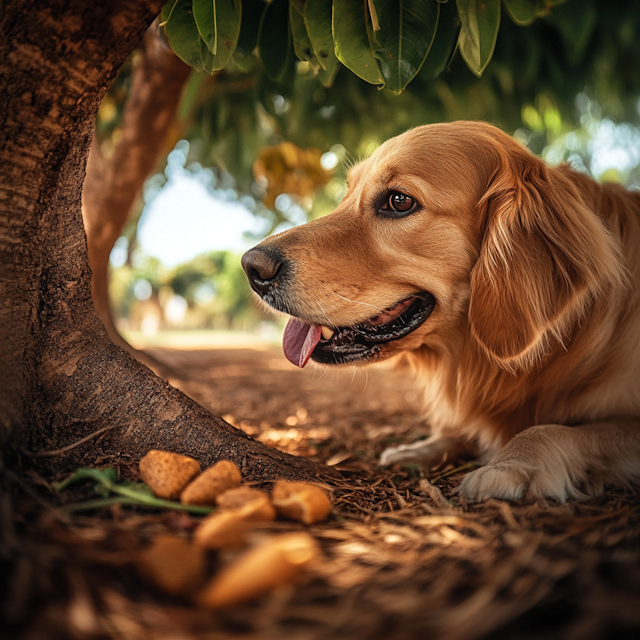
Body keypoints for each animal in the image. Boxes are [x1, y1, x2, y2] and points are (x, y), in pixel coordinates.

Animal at [240, 120, 640, 500]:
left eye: (399, 201)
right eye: (346, 195)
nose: (252, 267)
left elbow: (555, 429)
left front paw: (511, 464)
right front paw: (419, 449)